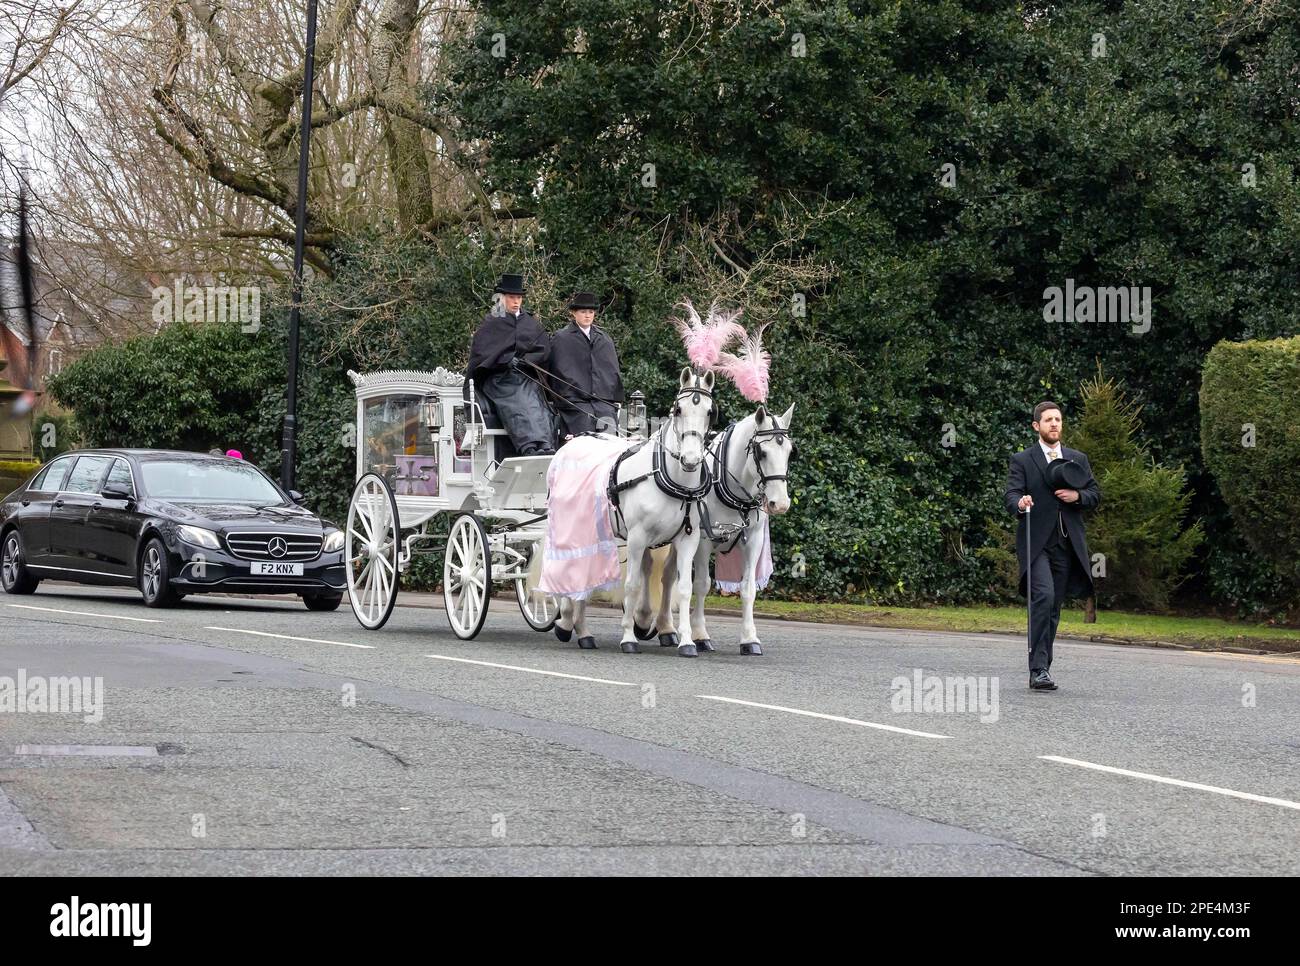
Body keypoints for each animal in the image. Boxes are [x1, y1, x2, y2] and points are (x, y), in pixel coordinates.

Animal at [553, 369, 717, 657]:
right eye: (678, 409)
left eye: (710, 411)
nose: (690, 459)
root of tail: (573, 441)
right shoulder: (638, 538)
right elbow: (632, 584)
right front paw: (629, 636)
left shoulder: (688, 539)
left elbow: (684, 588)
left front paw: (687, 641)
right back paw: (565, 620)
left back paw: (582, 631)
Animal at [650, 400, 790, 657]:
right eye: (762, 452)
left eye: (790, 452)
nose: (780, 503)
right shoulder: (704, 540)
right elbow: (702, 584)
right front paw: (700, 635)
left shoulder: (753, 540)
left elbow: (748, 588)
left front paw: (749, 638)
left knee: (669, 576)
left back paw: (666, 628)